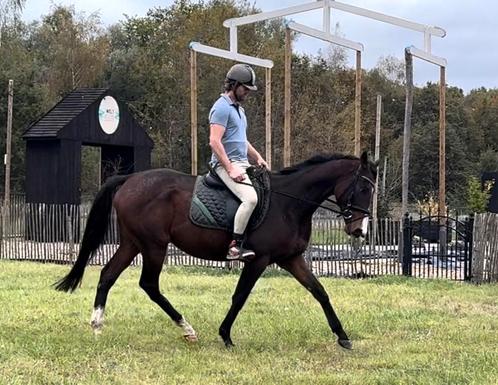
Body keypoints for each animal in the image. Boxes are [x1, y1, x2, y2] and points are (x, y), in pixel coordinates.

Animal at [55, 150, 378, 348]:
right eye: (364, 188)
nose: (359, 231)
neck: (289, 203)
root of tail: (130, 178)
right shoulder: (258, 260)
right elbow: (240, 296)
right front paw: (225, 335)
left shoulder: (291, 258)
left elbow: (319, 291)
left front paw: (343, 336)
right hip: (153, 245)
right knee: (149, 284)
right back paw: (187, 328)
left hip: (133, 243)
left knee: (108, 275)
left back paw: (97, 325)